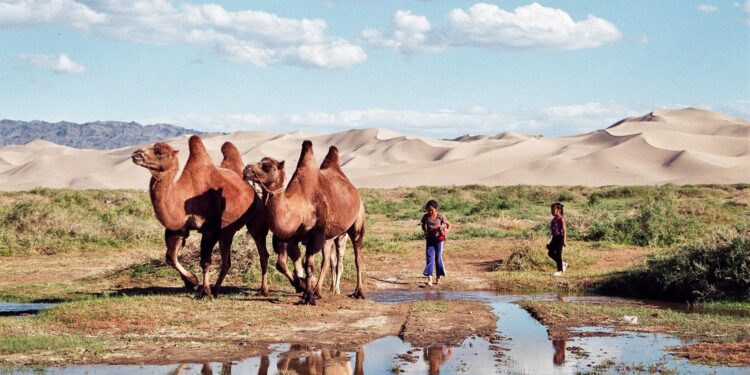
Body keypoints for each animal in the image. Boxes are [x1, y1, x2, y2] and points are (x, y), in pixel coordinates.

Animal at [134, 137, 272, 298]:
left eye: (159, 152)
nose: (136, 154)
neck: (184, 197)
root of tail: (251, 187)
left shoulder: (210, 229)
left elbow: (205, 261)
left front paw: (204, 290)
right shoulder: (179, 228)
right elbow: (171, 257)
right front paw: (192, 282)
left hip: (256, 218)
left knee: (263, 253)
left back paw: (263, 290)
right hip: (227, 231)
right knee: (227, 261)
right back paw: (217, 289)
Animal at [245, 141, 366, 306]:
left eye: (267, 166)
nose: (246, 169)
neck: (299, 208)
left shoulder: (315, 236)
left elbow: (308, 265)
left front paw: (309, 296)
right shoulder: (289, 238)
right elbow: (285, 264)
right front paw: (301, 286)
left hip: (356, 224)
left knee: (357, 257)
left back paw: (357, 292)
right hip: (331, 236)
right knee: (329, 260)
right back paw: (320, 290)